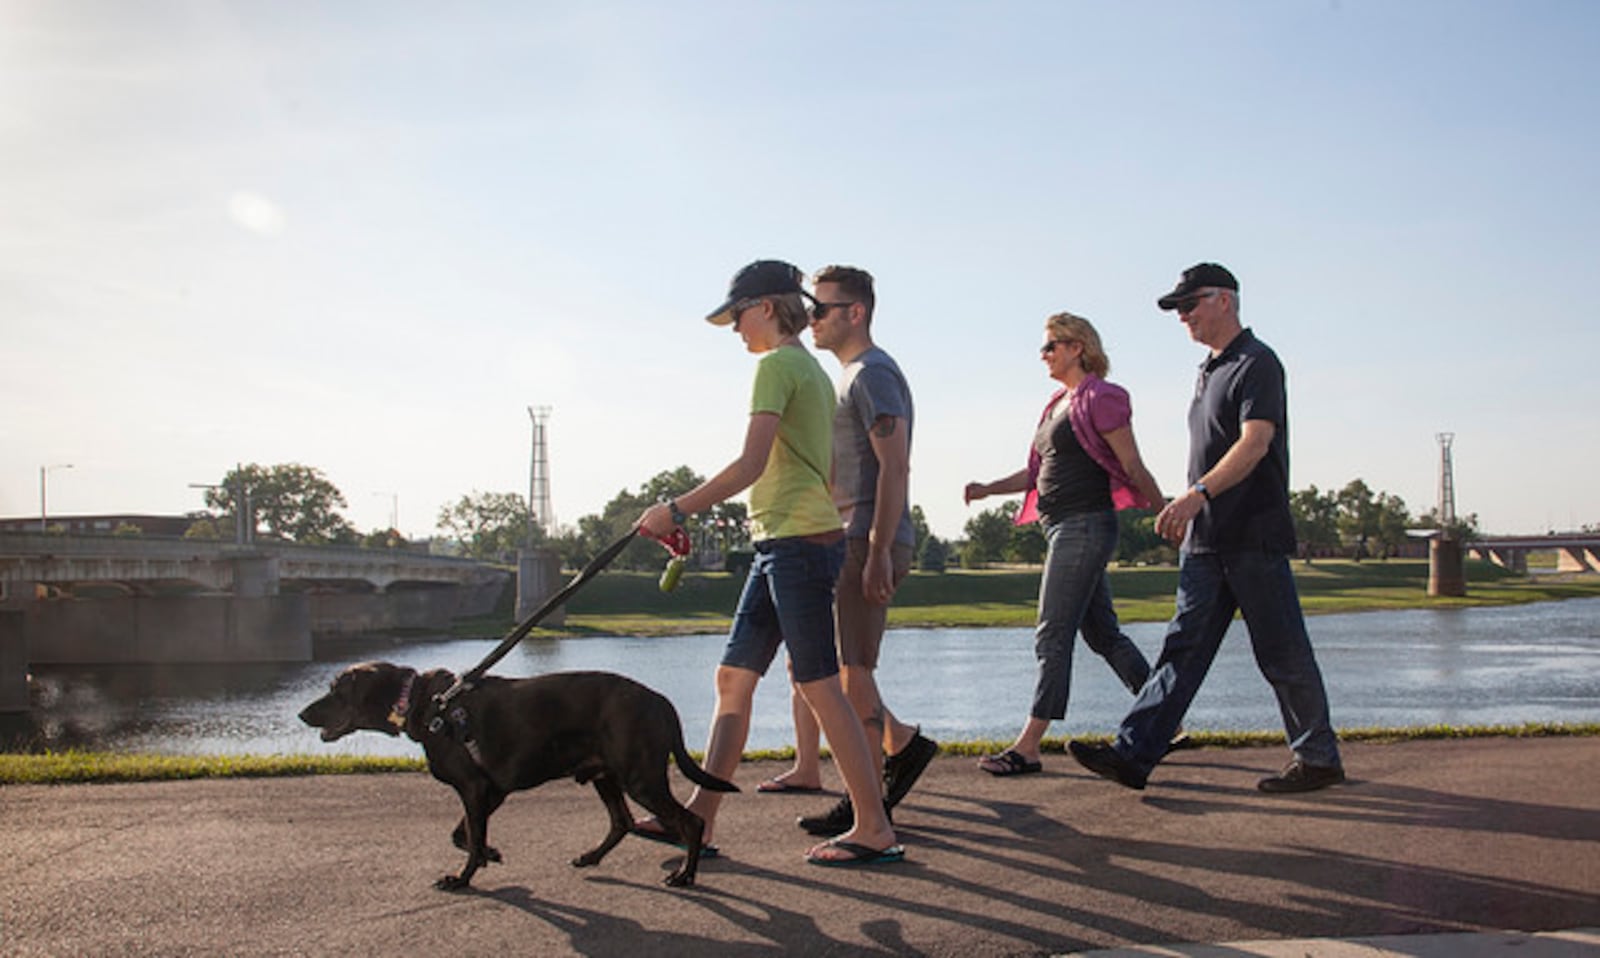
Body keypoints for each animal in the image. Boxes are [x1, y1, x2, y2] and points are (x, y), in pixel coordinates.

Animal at [297, 658, 732, 889]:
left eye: (336, 690)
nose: (302, 714)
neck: (428, 703)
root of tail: (660, 700)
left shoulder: (474, 787)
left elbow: (469, 837)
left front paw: (462, 878)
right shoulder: (490, 790)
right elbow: (463, 834)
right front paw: (490, 852)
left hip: (639, 777)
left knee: (690, 822)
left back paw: (685, 875)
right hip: (606, 774)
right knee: (621, 821)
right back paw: (591, 857)